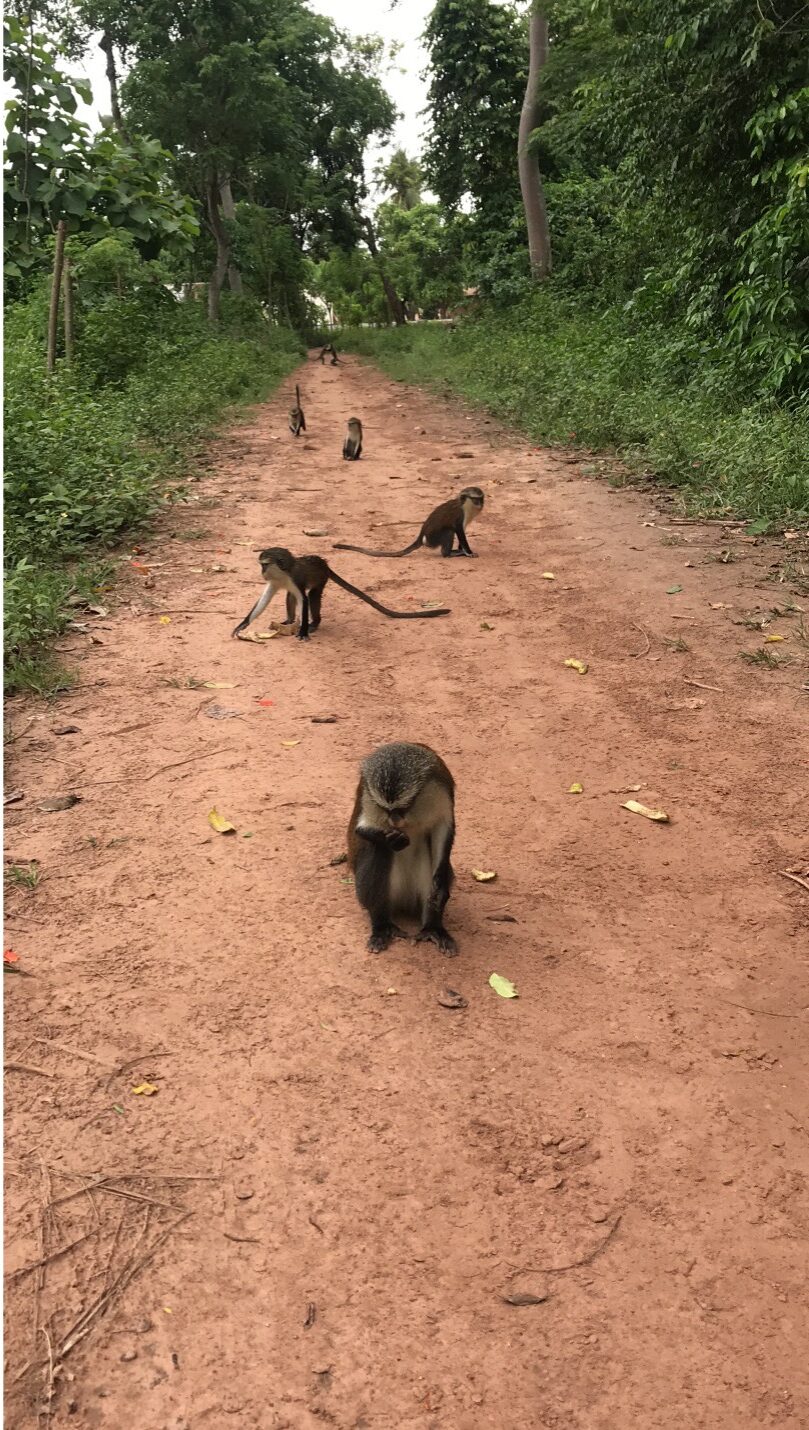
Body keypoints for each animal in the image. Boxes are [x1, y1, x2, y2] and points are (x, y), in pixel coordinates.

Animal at [231, 547, 450, 642]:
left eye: (264, 564)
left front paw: (303, 631)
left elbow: (304, 599)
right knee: (290, 597)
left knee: (313, 597)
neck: (284, 573)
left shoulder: (295, 579)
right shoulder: (276, 582)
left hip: (321, 579)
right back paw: (290, 621)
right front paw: (243, 624)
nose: (261, 573)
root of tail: (324, 564)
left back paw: (314, 623)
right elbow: (265, 599)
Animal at [333, 487, 484, 560]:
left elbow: (462, 531)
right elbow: (458, 530)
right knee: (449, 531)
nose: (481, 504)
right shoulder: (460, 514)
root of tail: (422, 535)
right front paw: (468, 552)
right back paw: (448, 554)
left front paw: (462, 549)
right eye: (475, 499)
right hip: (433, 539)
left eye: (482, 498)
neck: (465, 504)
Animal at [347, 741, 457, 955]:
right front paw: (393, 841)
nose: (394, 820)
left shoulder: (441, 788)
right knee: (379, 850)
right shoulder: (367, 795)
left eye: (403, 807)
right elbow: (362, 828)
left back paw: (433, 927)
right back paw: (381, 925)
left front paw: (440, 880)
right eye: (387, 809)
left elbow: (442, 829)